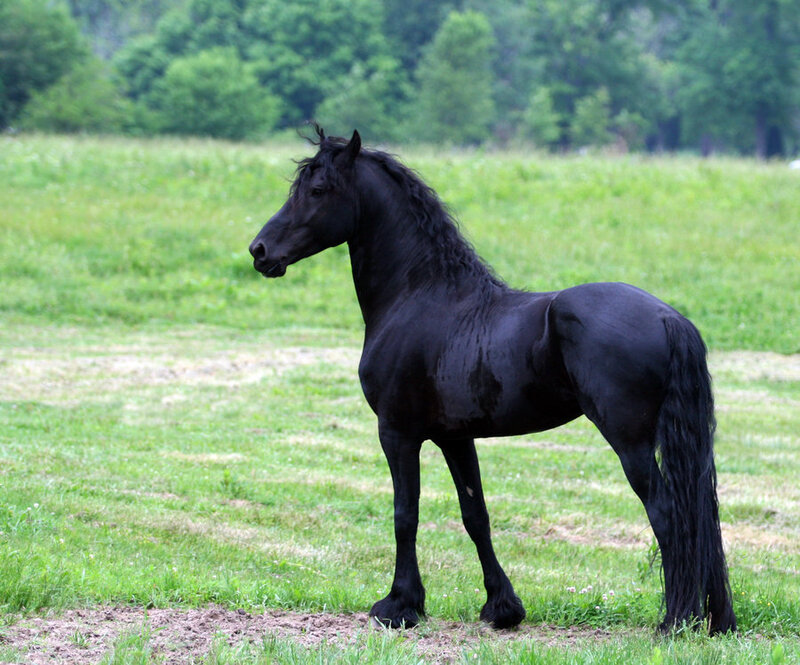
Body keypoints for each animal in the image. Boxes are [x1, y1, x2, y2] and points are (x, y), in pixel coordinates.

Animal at [248, 126, 737, 635]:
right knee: (700, 518)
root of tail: (667, 317)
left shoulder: (397, 433)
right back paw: (714, 618)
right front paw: (502, 607)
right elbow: (474, 514)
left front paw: (399, 605)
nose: (259, 251)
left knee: (668, 516)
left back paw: (675, 620)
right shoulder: (454, 437)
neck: (420, 296)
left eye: (318, 190)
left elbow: (406, 514)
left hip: (631, 443)